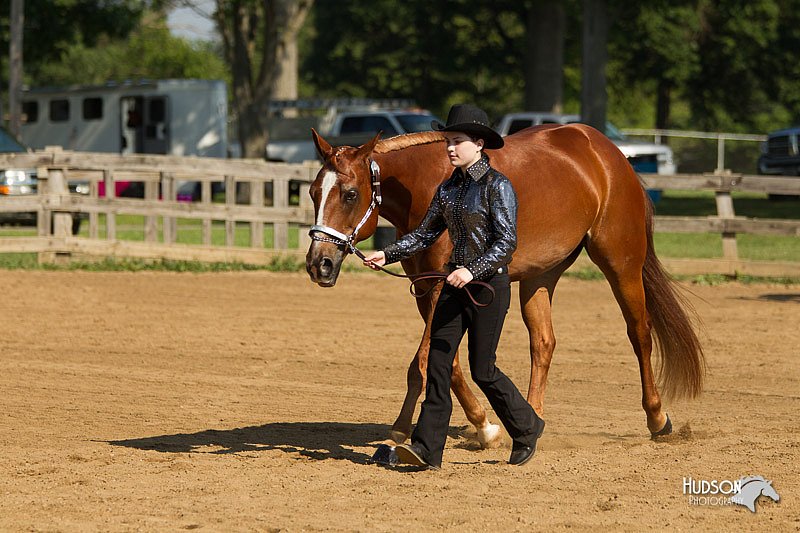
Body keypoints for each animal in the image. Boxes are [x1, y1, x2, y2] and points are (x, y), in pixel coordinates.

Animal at [304, 122, 704, 450]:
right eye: (312, 192)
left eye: (350, 194)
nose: (318, 264)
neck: (427, 185)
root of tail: (608, 152)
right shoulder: (425, 289)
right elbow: (446, 363)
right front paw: (478, 426)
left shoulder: (442, 287)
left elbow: (426, 361)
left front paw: (473, 428)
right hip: (540, 276)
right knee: (543, 343)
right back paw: (531, 421)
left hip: (621, 262)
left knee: (640, 332)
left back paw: (658, 419)